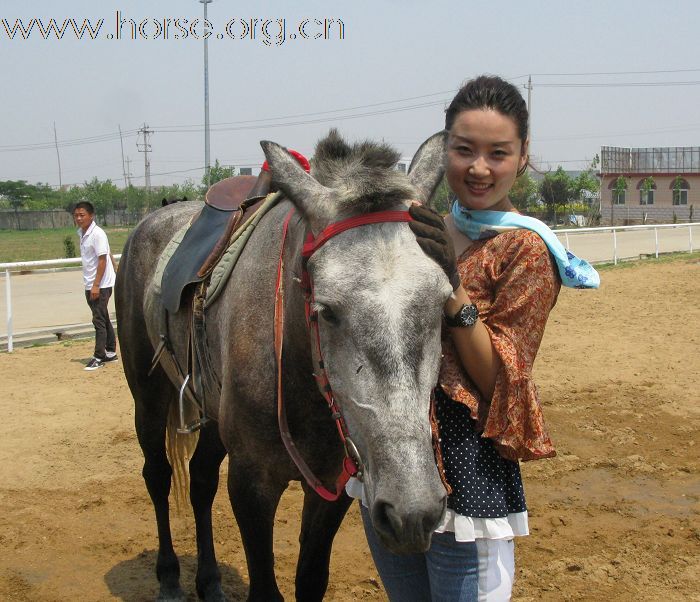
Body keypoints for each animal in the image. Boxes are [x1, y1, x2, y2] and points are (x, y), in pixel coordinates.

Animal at [116, 129, 448, 596]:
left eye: (442, 300)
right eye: (326, 310)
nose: (412, 512)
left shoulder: (336, 485)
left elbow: (310, 579)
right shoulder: (251, 484)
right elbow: (265, 586)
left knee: (200, 481)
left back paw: (210, 582)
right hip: (148, 397)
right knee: (159, 475)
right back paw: (168, 577)